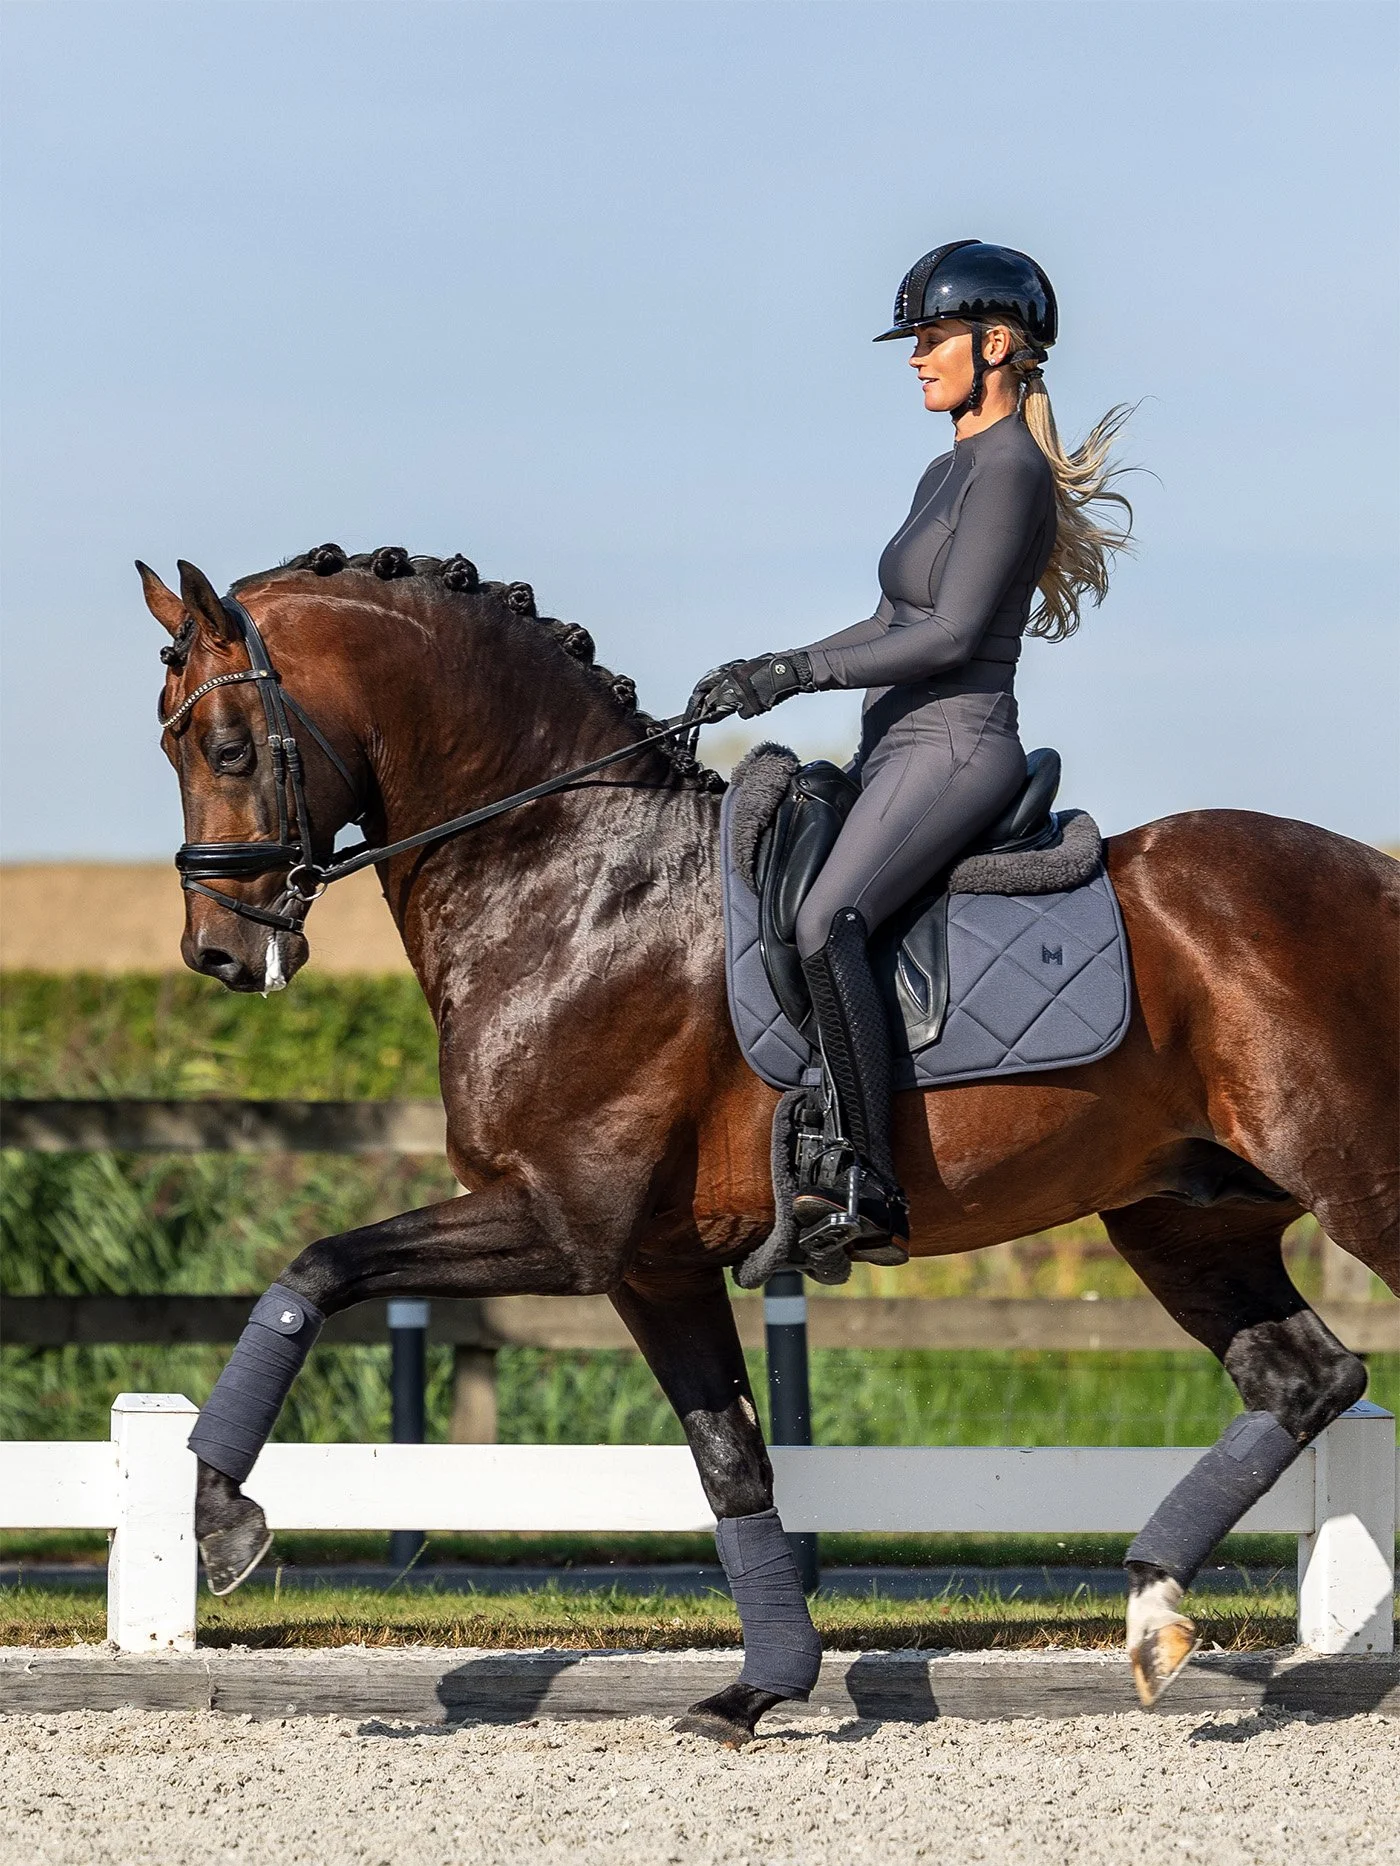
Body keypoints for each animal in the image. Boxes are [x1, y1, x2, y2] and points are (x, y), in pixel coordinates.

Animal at [141, 545, 1398, 1738]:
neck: (573, 883)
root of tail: (1374, 876)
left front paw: (220, 1518)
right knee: (1308, 1379)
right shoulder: (650, 1266)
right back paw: (1148, 1611)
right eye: (173, 746)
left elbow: (316, 1269)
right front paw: (760, 1688)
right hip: (1184, 1219)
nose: (218, 951)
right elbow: (730, 1462)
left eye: (229, 747)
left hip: (1353, 1186)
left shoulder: (562, 1225)